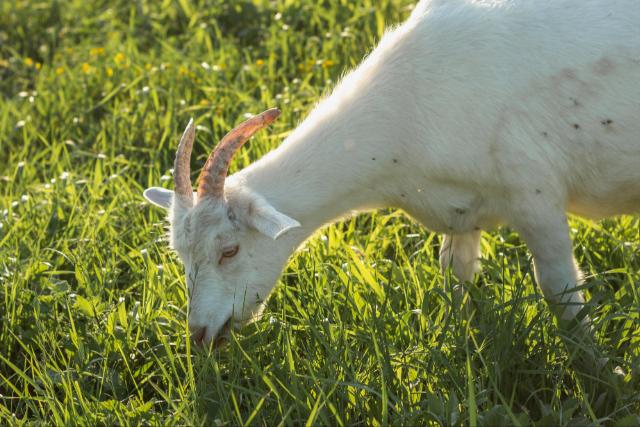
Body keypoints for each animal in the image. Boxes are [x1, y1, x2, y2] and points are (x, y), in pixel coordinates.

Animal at [144, 0, 640, 346]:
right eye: (180, 255)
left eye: (229, 250)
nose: (199, 334)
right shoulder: (461, 212)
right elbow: (455, 276)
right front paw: (462, 345)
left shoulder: (534, 194)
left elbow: (560, 292)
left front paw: (601, 374)